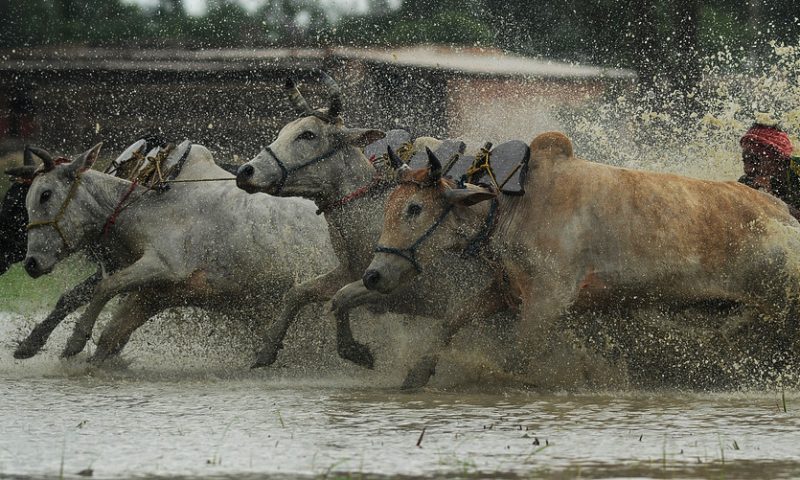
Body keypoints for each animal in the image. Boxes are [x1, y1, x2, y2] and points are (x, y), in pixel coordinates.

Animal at [23, 142, 332, 364]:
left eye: (45, 194)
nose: (31, 263)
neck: (145, 207)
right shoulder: (155, 294)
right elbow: (110, 336)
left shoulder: (164, 265)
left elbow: (106, 286)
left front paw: (75, 340)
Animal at [238, 72, 512, 386]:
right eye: (284, 130)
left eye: (308, 135)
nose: (245, 171)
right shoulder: (351, 272)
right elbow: (299, 293)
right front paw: (267, 349)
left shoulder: (402, 289)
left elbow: (340, 299)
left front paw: (355, 351)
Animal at [366, 131, 800, 386]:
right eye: (389, 206)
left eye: (415, 208)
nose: (373, 276)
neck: (513, 205)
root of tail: (785, 218)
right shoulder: (508, 290)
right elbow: (453, 319)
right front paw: (417, 374)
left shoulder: (547, 300)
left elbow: (518, 357)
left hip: (779, 309)